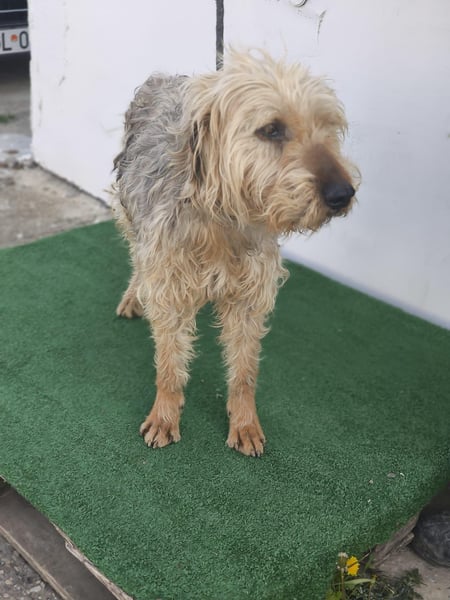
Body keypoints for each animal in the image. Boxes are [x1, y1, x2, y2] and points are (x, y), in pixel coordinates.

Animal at [113, 50, 358, 457]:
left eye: (327, 126)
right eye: (271, 129)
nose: (343, 194)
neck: (223, 215)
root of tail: (164, 76)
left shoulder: (249, 296)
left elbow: (244, 370)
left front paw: (244, 423)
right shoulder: (170, 282)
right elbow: (169, 363)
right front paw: (165, 414)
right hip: (131, 213)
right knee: (137, 259)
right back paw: (134, 294)